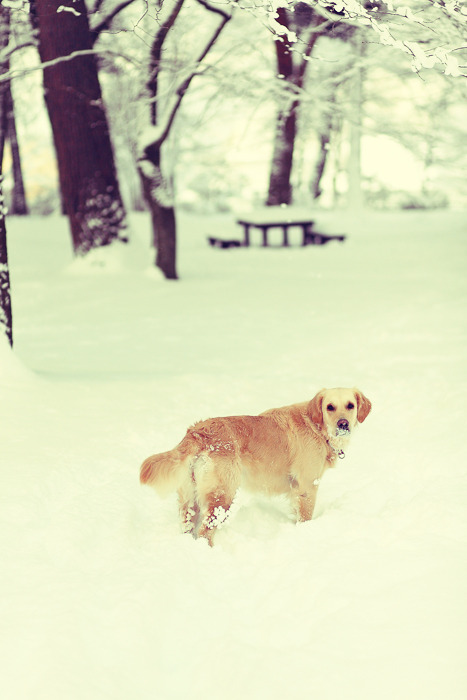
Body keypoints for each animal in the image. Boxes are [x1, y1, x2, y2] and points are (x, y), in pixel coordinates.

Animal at [141, 388, 372, 548]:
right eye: (330, 407)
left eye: (350, 405)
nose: (343, 424)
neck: (317, 426)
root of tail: (198, 431)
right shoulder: (307, 486)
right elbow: (305, 516)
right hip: (223, 496)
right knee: (206, 531)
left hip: (190, 498)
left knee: (189, 526)